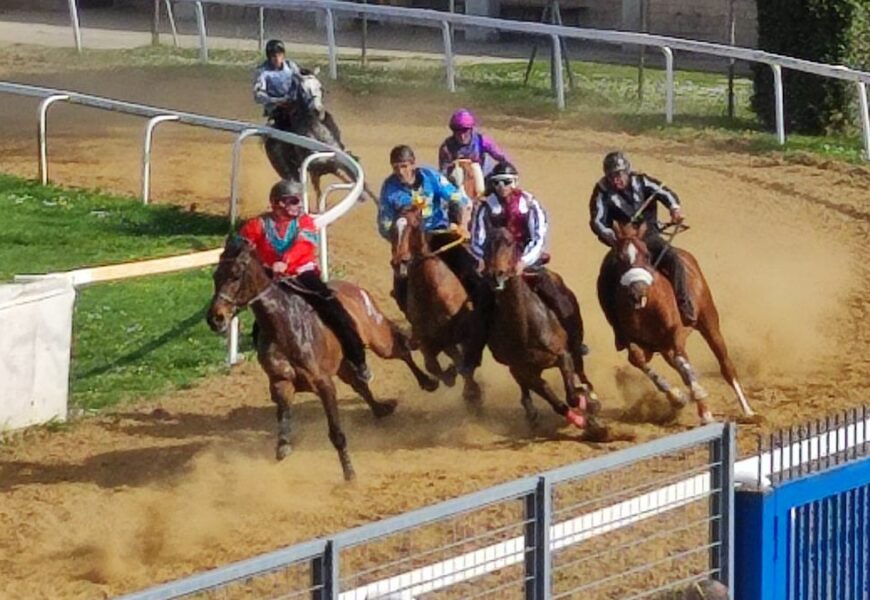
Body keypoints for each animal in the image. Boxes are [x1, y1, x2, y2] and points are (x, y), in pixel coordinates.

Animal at [207, 237, 440, 480]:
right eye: (215, 276)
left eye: (235, 275)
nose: (215, 318)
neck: (284, 327)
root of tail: (356, 289)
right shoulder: (281, 382)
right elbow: (283, 415)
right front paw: (283, 445)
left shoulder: (323, 384)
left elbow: (336, 433)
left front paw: (349, 473)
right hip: (344, 365)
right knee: (359, 384)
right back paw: (381, 408)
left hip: (379, 339)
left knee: (401, 350)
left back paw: (428, 381)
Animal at [262, 68, 378, 204]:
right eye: (302, 90)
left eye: (320, 87)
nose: (317, 110)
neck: (317, 134)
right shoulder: (318, 169)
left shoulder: (340, 161)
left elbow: (362, 183)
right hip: (287, 171)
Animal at [388, 204, 484, 406]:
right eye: (392, 228)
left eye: (415, 225)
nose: (399, 262)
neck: (431, 290)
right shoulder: (426, 339)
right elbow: (432, 366)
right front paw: (449, 378)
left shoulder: (464, 334)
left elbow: (465, 363)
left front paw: (472, 393)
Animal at [484, 225, 608, 436]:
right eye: (485, 244)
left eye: (509, 242)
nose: (495, 275)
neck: (524, 329)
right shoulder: (524, 371)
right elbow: (557, 403)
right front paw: (582, 421)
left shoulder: (563, 356)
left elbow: (572, 396)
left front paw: (587, 402)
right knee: (525, 392)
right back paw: (531, 413)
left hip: (574, 343)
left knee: (580, 368)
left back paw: (591, 395)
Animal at [608, 223, 756, 424]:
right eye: (619, 258)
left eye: (646, 255)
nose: (637, 292)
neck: (647, 307)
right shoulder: (639, 342)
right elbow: (638, 358)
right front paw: (677, 397)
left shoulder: (676, 333)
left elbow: (682, 361)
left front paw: (700, 399)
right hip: (664, 347)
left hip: (708, 322)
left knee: (725, 365)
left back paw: (746, 410)